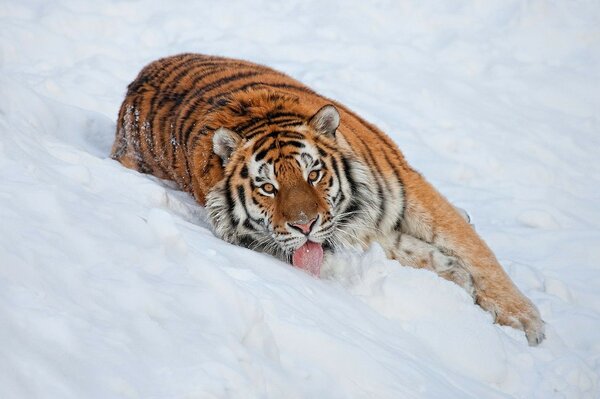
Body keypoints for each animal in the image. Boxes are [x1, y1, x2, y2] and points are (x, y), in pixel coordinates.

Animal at [111, 53, 544, 346]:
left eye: (314, 174)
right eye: (267, 188)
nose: (305, 225)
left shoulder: (409, 190)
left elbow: (477, 253)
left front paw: (525, 321)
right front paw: (455, 274)